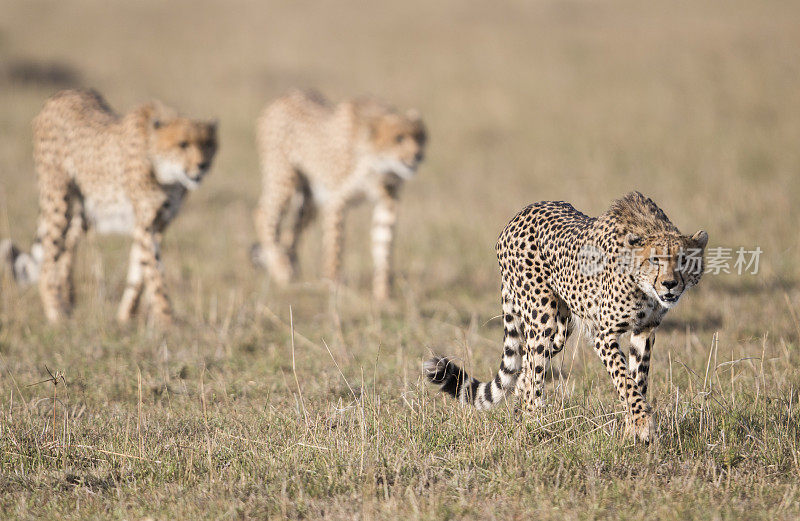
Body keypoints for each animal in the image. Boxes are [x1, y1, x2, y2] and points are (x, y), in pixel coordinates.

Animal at [0, 90, 216, 324]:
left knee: (68, 246)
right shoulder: (146, 226)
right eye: (183, 144)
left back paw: (68, 300)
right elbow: (154, 273)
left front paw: (126, 317)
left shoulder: (156, 225)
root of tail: (62, 94)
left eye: (208, 145)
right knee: (49, 257)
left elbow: (139, 272)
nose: (202, 166)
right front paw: (167, 321)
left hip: (86, 210)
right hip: (58, 198)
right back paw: (56, 313)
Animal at [252, 91, 428, 298]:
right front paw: (334, 285)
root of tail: (286, 95)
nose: (418, 155)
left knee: (291, 232)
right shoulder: (336, 201)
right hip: (283, 178)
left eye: (420, 137)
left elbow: (384, 245)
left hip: (309, 200)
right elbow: (334, 245)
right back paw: (280, 268)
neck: (378, 166)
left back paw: (290, 266)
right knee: (263, 215)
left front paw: (382, 294)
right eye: (399, 138)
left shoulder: (387, 202)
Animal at [424, 192, 708, 442]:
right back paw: (534, 426)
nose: (670, 284)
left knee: (525, 370)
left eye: (684, 259)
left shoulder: (645, 330)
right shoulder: (603, 334)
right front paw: (643, 425)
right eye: (655, 260)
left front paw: (633, 431)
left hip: (559, 330)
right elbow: (625, 381)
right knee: (533, 375)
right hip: (541, 318)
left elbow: (638, 379)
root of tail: (520, 214)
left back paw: (520, 419)